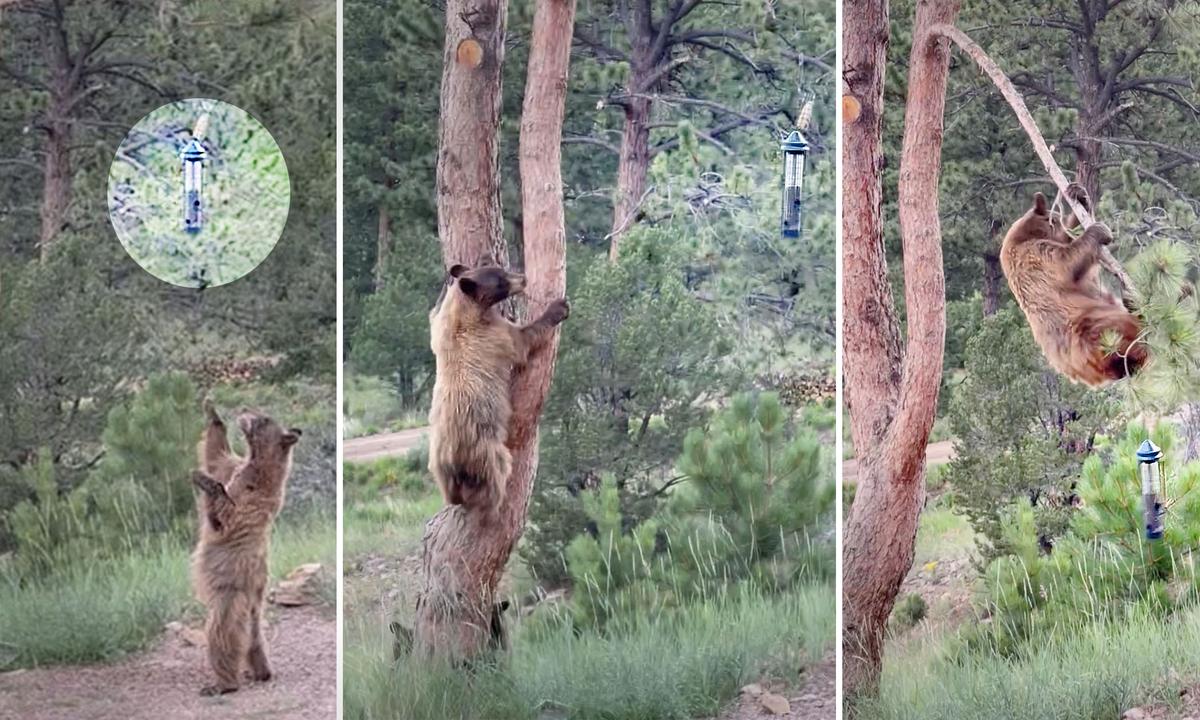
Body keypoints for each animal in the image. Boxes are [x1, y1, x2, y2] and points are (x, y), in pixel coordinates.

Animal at [191, 401, 300, 696]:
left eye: (264, 419)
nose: (244, 410)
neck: (258, 465)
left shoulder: (254, 497)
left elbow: (228, 512)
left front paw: (203, 480)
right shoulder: (237, 469)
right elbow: (217, 457)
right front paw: (213, 413)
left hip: (230, 596)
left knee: (223, 635)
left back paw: (222, 684)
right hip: (249, 608)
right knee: (253, 638)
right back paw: (261, 671)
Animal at [427, 256, 569, 516]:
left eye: (501, 270)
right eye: (501, 281)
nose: (523, 278)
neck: (466, 311)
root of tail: (453, 459)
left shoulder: (440, 330)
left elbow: (434, 312)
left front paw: (451, 276)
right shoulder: (494, 335)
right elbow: (522, 340)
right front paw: (558, 308)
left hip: (438, 465)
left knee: (449, 490)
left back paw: (455, 498)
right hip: (487, 451)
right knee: (497, 473)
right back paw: (495, 501)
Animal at [1000, 185, 1148, 386]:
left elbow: (1070, 241)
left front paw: (1079, 195)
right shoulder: (1034, 258)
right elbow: (1067, 261)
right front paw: (1098, 230)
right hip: (1097, 326)